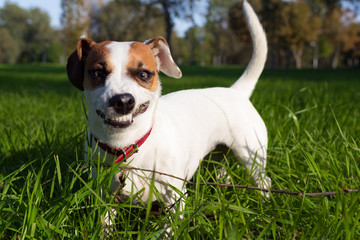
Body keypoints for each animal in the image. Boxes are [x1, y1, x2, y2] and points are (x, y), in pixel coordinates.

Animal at [67, 0, 270, 226]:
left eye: (144, 74)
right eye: (98, 72)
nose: (123, 101)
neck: (128, 147)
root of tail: (235, 91)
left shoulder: (175, 197)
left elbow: (169, 227)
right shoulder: (104, 194)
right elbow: (105, 222)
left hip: (251, 156)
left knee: (264, 180)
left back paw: (265, 206)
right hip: (219, 156)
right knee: (222, 174)